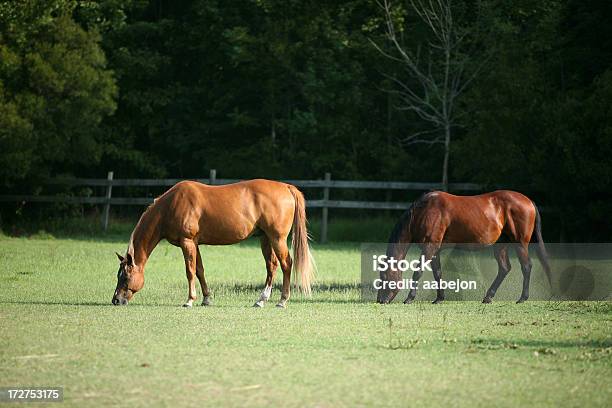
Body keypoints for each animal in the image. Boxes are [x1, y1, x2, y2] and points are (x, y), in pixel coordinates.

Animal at [112, 180, 318, 308]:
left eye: (125, 277)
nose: (116, 300)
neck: (170, 206)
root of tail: (286, 187)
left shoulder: (187, 242)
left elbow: (189, 271)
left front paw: (190, 300)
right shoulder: (195, 244)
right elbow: (199, 270)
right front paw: (206, 299)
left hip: (277, 238)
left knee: (286, 264)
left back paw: (282, 301)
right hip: (265, 238)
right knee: (272, 266)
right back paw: (261, 300)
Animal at [376, 190, 552, 302]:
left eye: (383, 277)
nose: (380, 300)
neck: (424, 211)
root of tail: (529, 201)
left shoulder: (429, 248)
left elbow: (417, 272)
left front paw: (409, 298)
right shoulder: (435, 250)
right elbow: (437, 273)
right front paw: (439, 298)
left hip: (520, 244)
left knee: (526, 266)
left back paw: (522, 298)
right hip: (500, 245)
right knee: (504, 268)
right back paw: (488, 297)